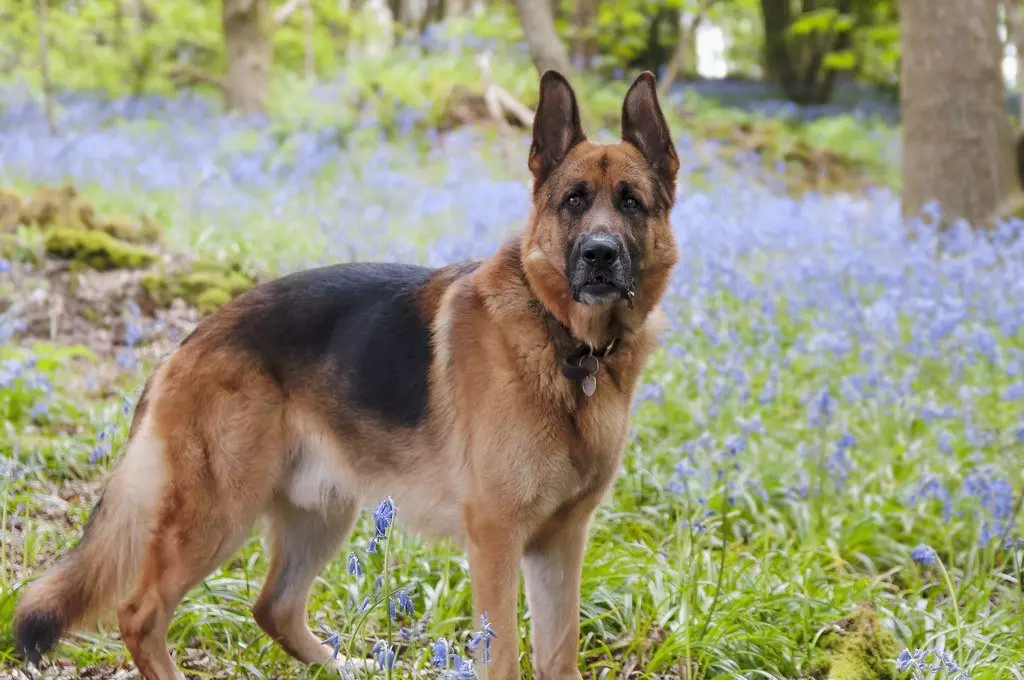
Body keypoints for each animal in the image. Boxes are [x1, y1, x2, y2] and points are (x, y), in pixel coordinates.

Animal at [12, 70, 679, 680]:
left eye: (630, 202)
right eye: (574, 200)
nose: (599, 254)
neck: (567, 345)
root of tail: (190, 340)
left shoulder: (560, 545)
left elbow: (558, 656)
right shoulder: (496, 539)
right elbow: (504, 659)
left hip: (323, 513)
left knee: (273, 608)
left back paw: (346, 663)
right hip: (217, 517)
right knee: (140, 612)